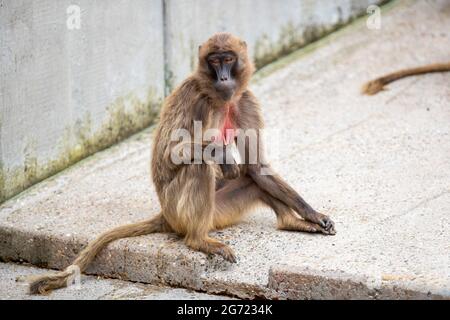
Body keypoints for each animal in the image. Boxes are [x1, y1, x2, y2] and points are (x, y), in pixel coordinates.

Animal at [20, 32, 334, 296]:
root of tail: (165, 215)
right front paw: (222, 155)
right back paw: (198, 240)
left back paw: (290, 221)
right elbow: (169, 152)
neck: (220, 100)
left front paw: (313, 215)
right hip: (178, 209)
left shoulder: (245, 100)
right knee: (199, 166)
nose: (223, 78)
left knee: (250, 178)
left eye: (229, 59)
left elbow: (257, 168)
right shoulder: (194, 96)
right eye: (214, 61)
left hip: (218, 212)